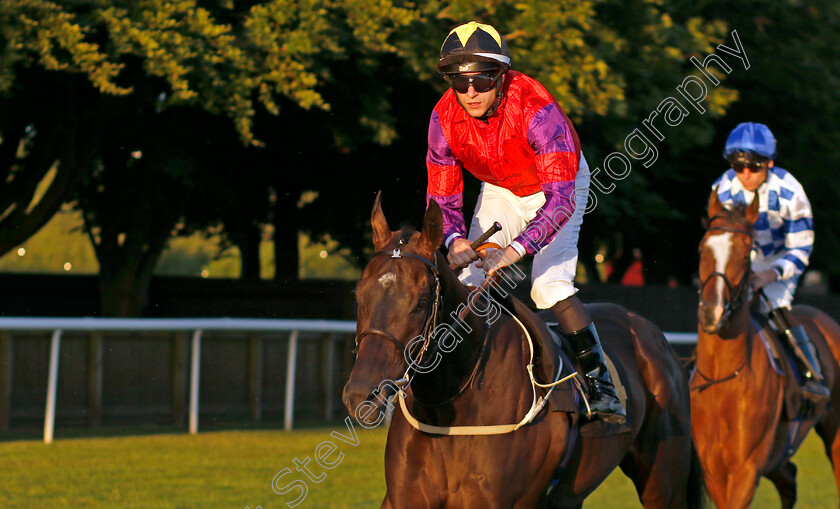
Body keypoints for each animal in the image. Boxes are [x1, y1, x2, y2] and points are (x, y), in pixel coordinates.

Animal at [342, 192, 704, 506]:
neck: (452, 404)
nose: (362, 394)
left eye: (419, 302)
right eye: (359, 295)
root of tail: (652, 334)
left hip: (663, 478)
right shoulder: (402, 499)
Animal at [692, 189, 840, 506]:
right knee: (790, 479)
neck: (723, 379)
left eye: (746, 253)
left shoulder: (746, 471)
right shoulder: (714, 470)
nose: (711, 312)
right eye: (702, 249)